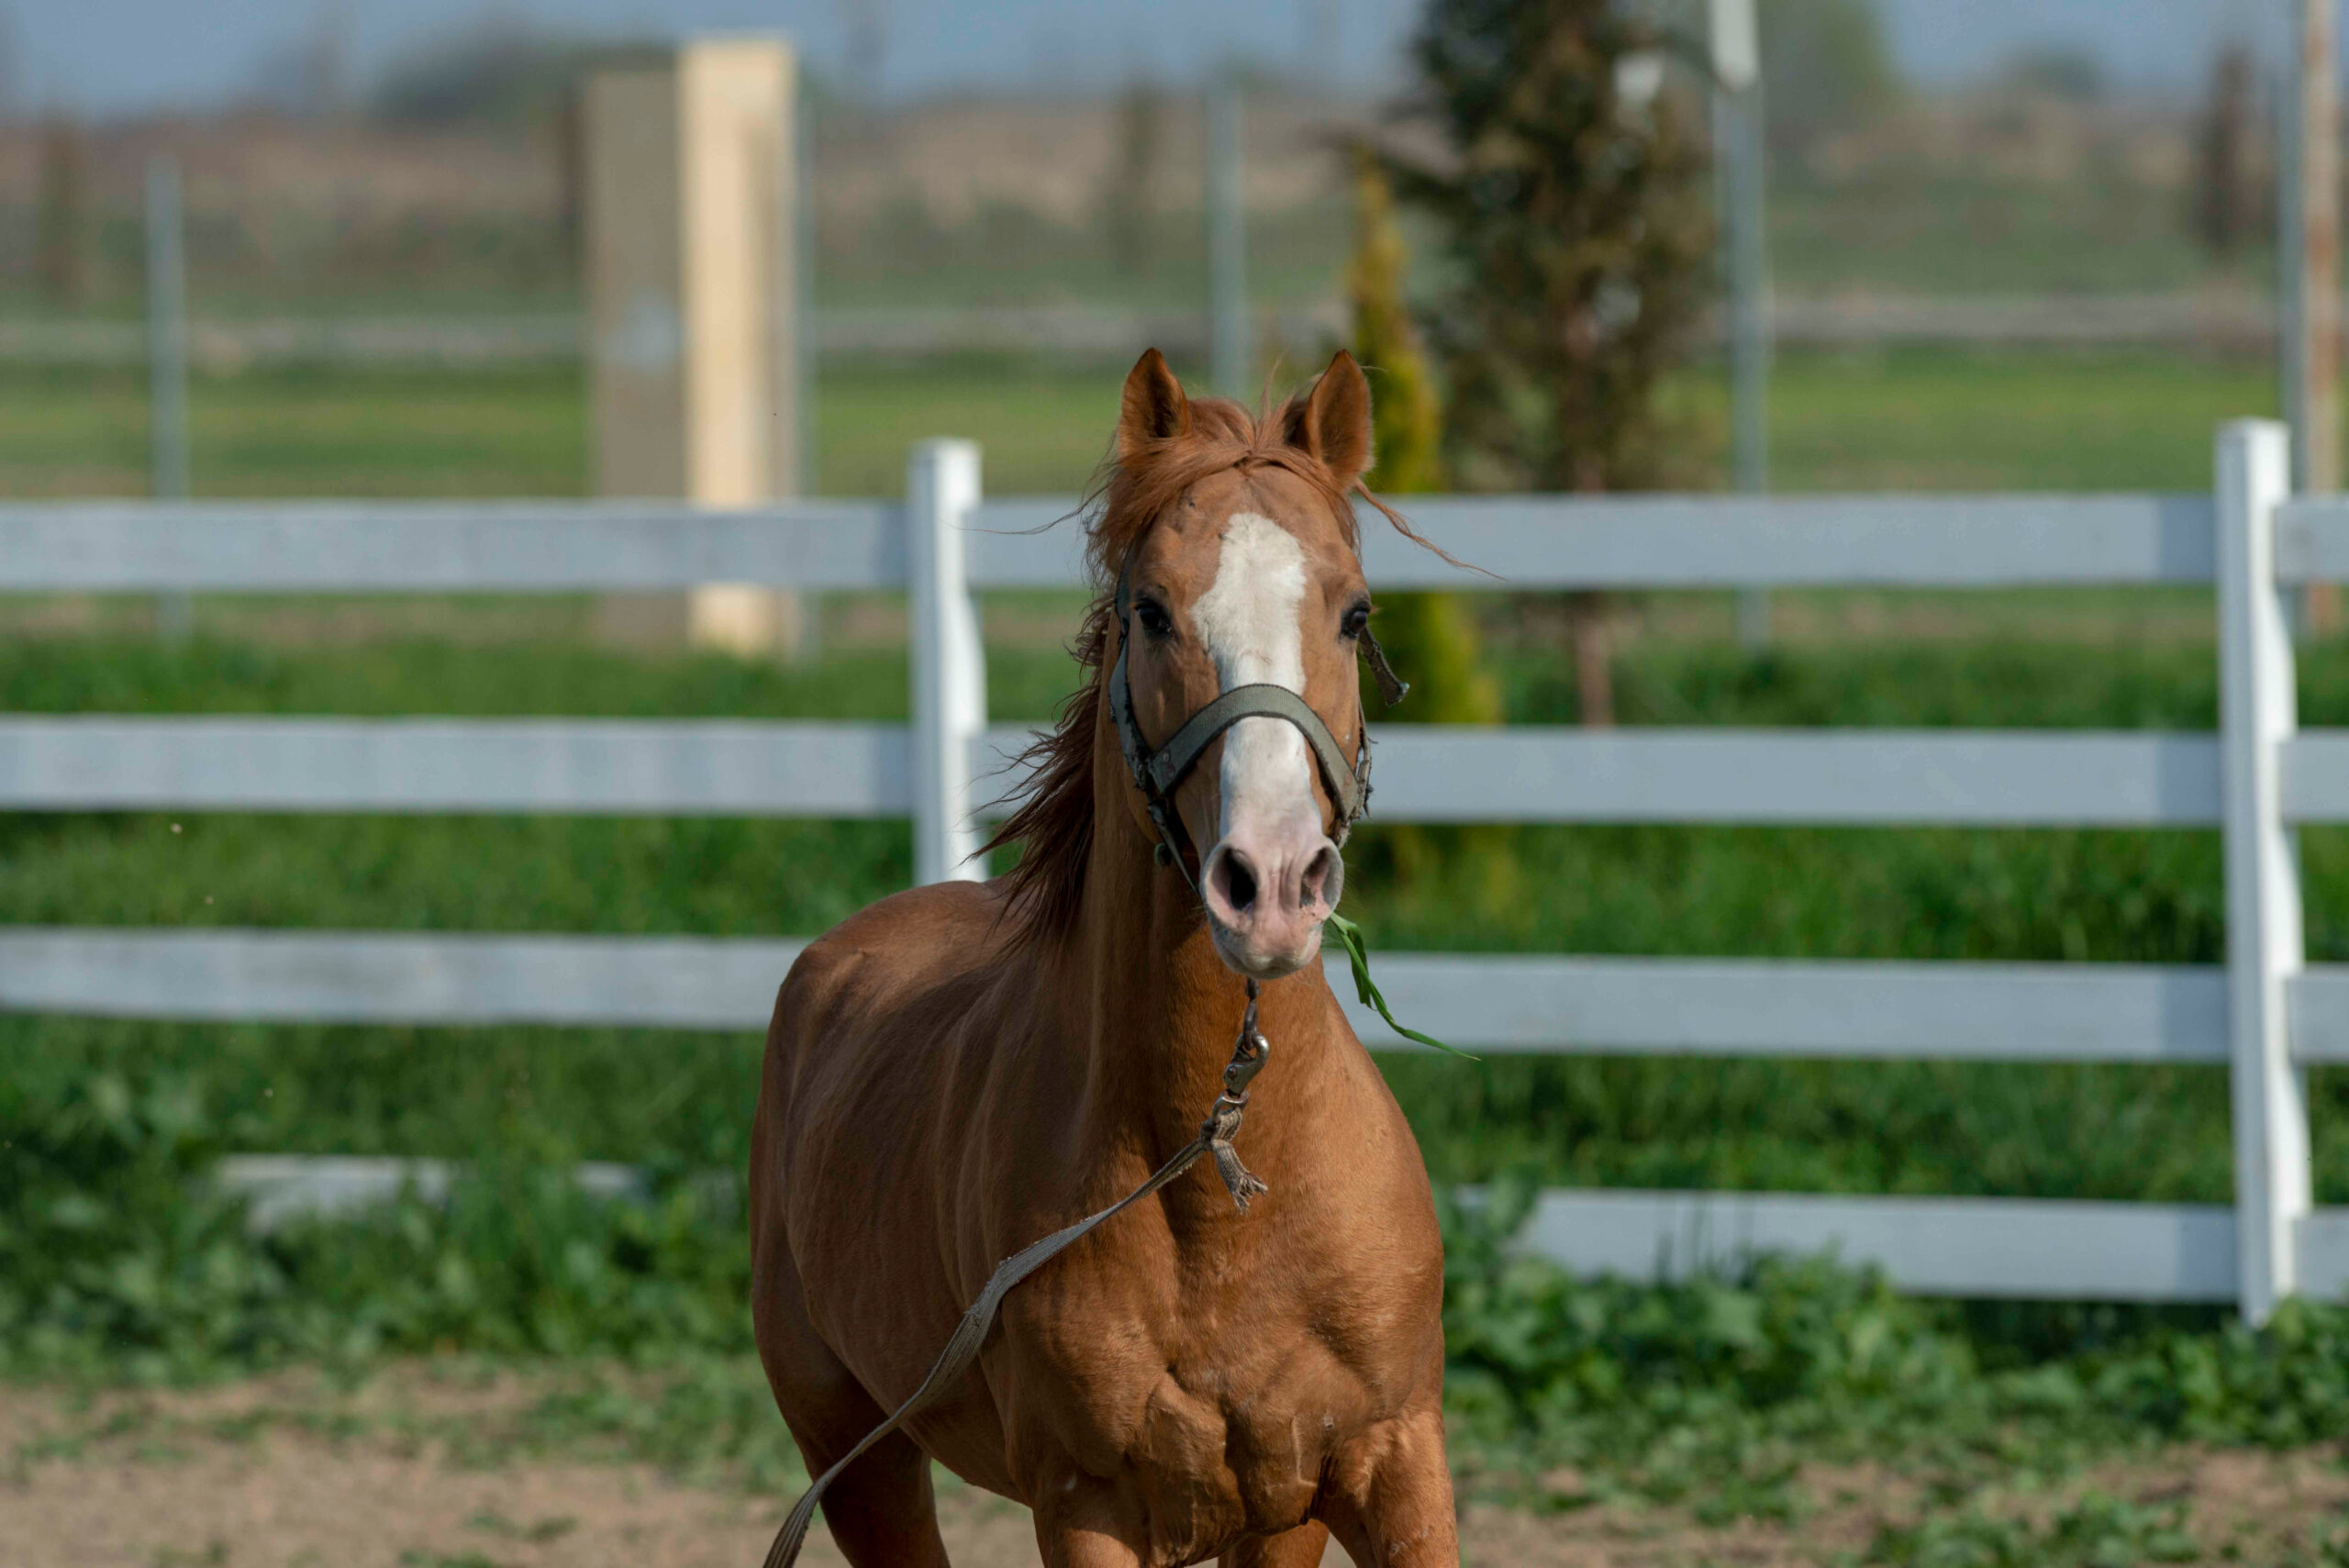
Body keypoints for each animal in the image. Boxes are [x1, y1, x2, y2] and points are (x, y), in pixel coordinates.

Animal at [751, 350, 1446, 1558]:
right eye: (1151, 610)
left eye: (1355, 612)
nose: (1270, 882)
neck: (1223, 1189)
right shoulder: (1089, 1503)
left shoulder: (1373, 1466)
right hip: (856, 1456)